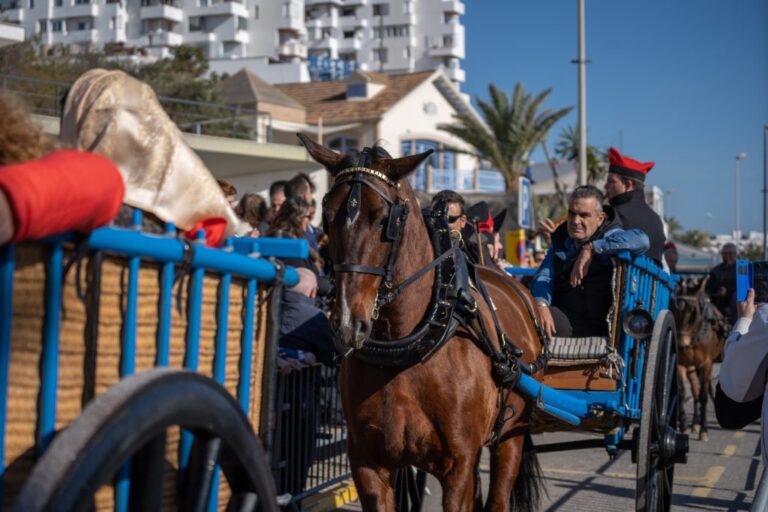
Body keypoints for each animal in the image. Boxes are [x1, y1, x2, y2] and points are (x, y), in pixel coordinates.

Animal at [300, 133, 544, 512]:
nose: (346, 324)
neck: (409, 345)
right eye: (326, 216)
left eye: (384, 218)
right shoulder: (368, 465)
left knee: (499, 495)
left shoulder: (459, 466)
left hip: (511, 436)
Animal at [676, 276, 728, 440]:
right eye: (674, 307)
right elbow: (682, 393)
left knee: (700, 391)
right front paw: (684, 425)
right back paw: (694, 424)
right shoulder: (681, 364)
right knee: (695, 390)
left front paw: (704, 430)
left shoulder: (706, 364)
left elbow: (704, 396)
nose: (681, 344)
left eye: (694, 311)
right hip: (692, 367)